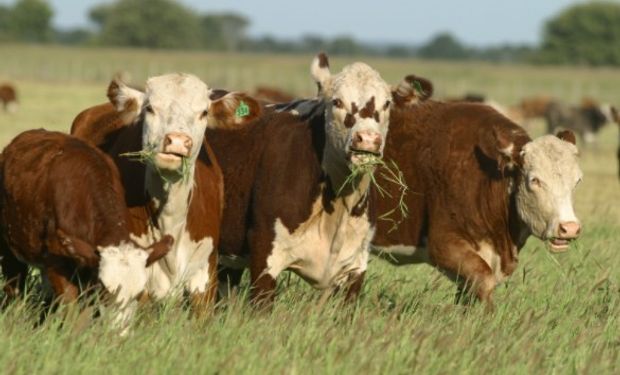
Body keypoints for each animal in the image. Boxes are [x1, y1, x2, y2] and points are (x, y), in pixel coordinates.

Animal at [0, 129, 172, 324]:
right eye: (105, 289)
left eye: (139, 293)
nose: (117, 329)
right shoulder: (56, 260)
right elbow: (70, 308)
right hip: (9, 249)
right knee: (13, 289)